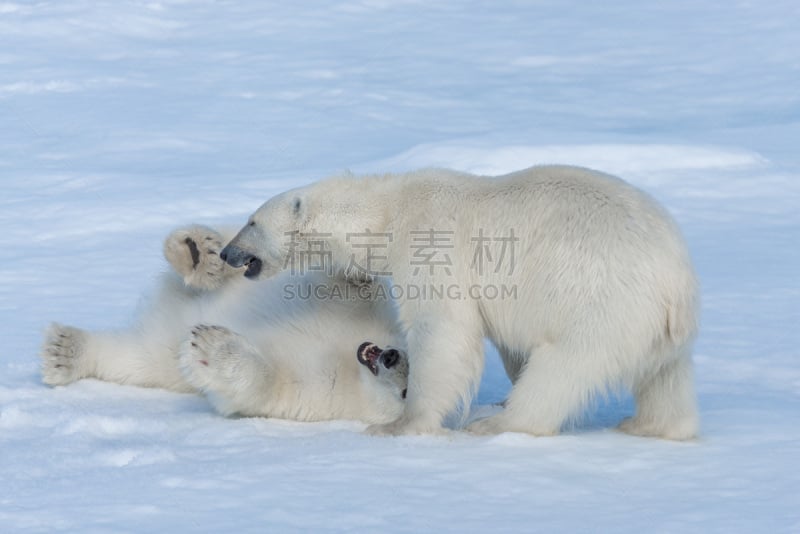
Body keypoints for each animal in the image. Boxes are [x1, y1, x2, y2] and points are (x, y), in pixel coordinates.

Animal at [40, 224, 410, 426]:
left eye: (408, 391)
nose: (390, 356)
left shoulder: (322, 393)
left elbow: (262, 387)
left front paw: (210, 347)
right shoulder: (371, 307)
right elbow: (351, 282)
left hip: (162, 354)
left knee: (137, 358)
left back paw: (62, 351)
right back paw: (197, 253)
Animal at [220, 166, 700, 440]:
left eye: (251, 221)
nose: (226, 253)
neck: (388, 212)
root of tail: (675, 283)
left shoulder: (431, 246)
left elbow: (443, 330)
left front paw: (399, 424)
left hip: (602, 304)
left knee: (564, 365)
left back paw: (498, 424)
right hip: (655, 328)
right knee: (665, 377)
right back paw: (652, 425)